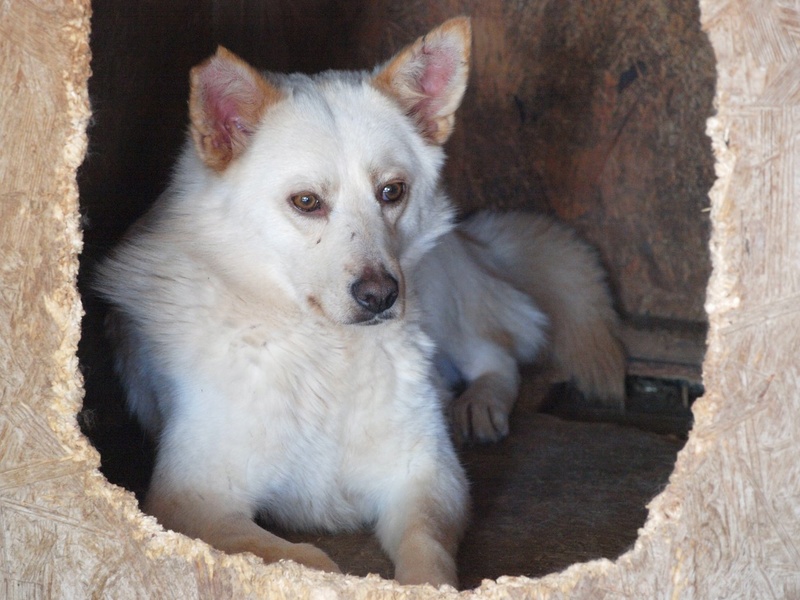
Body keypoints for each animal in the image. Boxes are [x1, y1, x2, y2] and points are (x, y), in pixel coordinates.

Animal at [95, 16, 624, 588]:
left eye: (392, 191)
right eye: (307, 201)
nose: (381, 296)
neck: (327, 352)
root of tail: (475, 241)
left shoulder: (427, 476)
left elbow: (427, 558)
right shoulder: (192, 498)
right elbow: (299, 559)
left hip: (442, 288)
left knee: (496, 352)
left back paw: (479, 404)